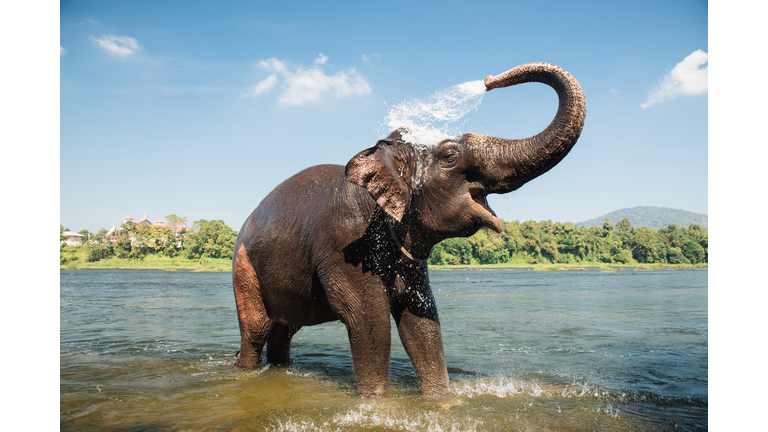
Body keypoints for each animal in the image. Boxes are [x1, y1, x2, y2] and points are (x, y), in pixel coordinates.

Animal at [232, 62, 586, 396]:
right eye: (449, 155)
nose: (488, 80)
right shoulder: (345, 243)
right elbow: (369, 321)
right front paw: (374, 402)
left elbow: (421, 321)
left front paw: (441, 400)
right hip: (243, 266)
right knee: (257, 329)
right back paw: (245, 370)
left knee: (284, 329)